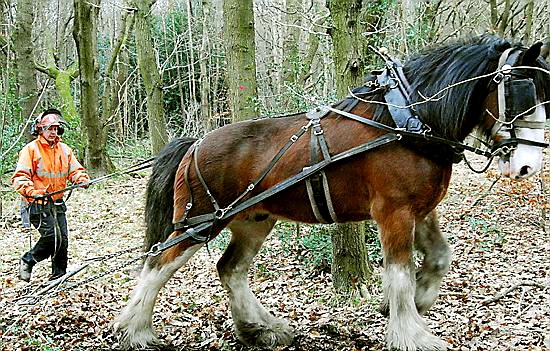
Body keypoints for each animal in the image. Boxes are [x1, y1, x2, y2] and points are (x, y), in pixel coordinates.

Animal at [113, 36, 550, 351]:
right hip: (200, 222)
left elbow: (440, 258)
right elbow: (399, 274)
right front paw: (412, 335)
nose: (529, 166)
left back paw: (261, 329)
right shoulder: (393, 212)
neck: (408, 121)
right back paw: (135, 331)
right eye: (525, 92)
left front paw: (418, 302)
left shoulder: (421, 210)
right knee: (157, 265)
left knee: (230, 269)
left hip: (253, 219)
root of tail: (195, 145)